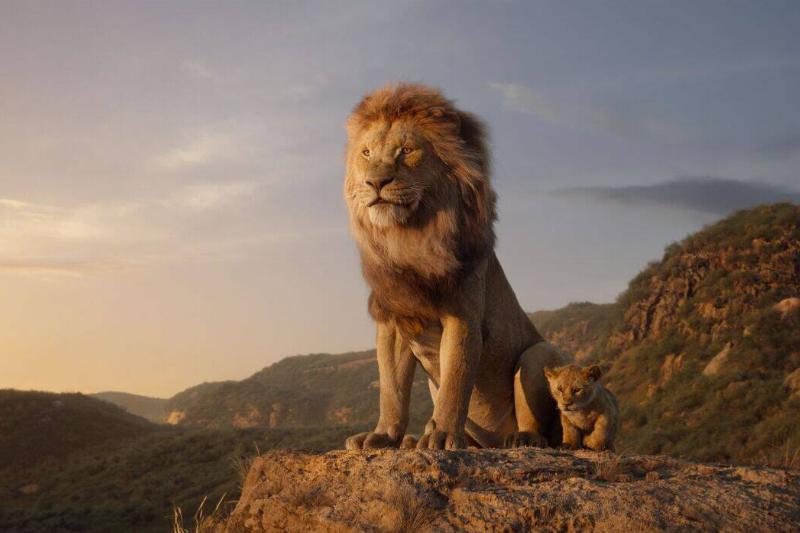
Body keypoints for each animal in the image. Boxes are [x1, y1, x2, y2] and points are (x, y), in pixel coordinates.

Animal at [343, 83, 564, 450]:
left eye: (406, 150)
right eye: (366, 153)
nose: (376, 183)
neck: (409, 238)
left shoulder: (463, 317)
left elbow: (455, 382)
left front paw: (443, 435)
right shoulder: (394, 320)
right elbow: (391, 389)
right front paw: (383, 435)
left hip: (539, 354)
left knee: (541, 427)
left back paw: (521, 439)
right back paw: (413, 440)